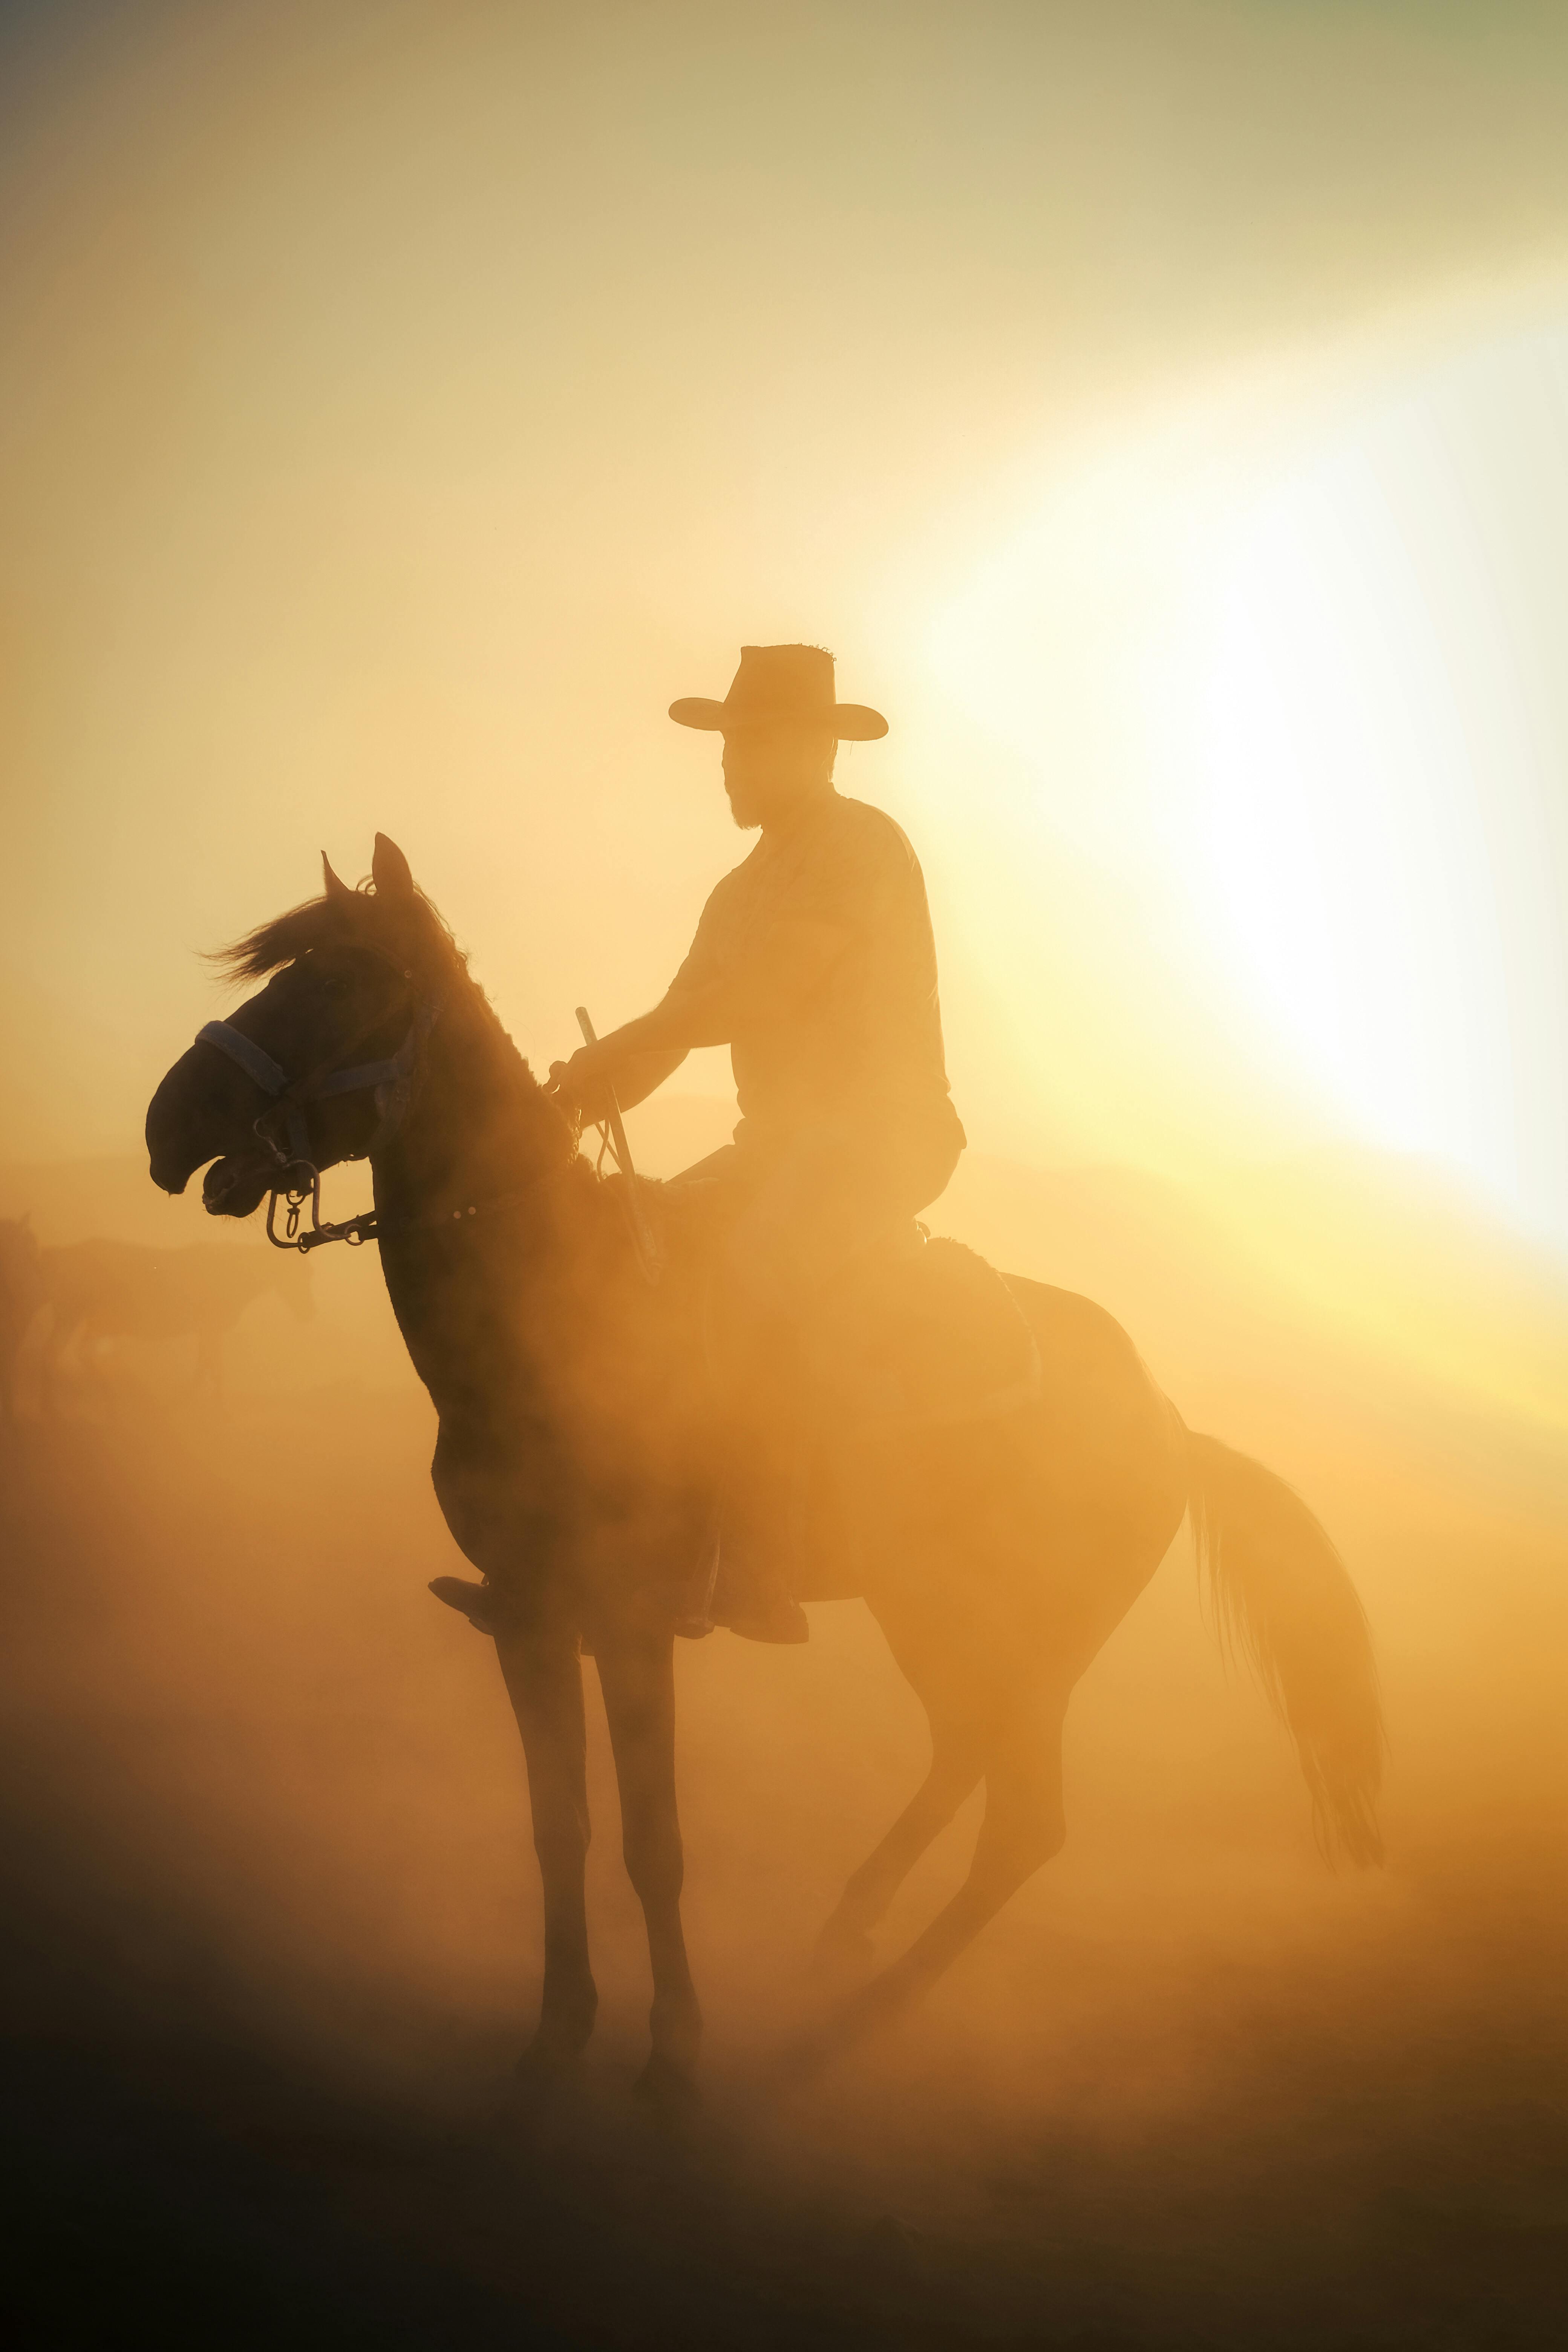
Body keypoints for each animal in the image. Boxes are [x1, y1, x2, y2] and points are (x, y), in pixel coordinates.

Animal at [141, 842, 1382, 2117]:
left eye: (341, 983)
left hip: (1029, 1642)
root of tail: (1171, 1423)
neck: (549, 1308)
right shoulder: (528, 1617)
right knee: (965, 1755)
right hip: (933, 1615)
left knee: (1025, 1822)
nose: (169, 1121)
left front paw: (674, 2049)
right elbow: (560, 1828)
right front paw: (557, 2032)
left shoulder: (630, 1623)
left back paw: (876, 1996)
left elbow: (653, 1844)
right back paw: (847, 1924)